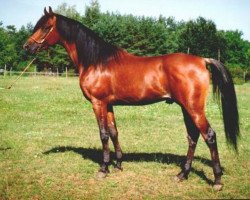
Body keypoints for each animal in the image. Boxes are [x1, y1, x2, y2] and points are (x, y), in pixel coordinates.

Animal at [24, 7, 239, 190]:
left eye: (45, 27)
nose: (27, 47)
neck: (97, 61)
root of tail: (202, 60)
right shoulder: (108, 104)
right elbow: (114, 132)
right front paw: (118, 163)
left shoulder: (98, 103)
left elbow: (103, 134)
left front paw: (103, 169)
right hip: (186, 108)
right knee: (193, 136)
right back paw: (182, 174)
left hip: (194, 108)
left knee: (209, 135)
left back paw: (217, 181)